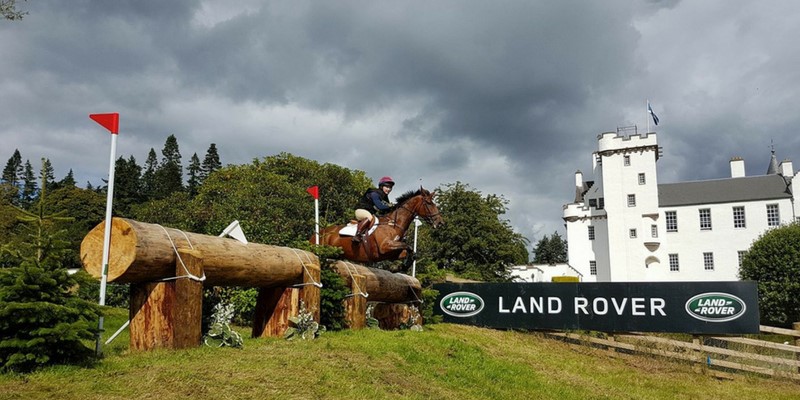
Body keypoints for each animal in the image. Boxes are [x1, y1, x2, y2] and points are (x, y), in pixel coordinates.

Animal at [314, 188, 444, 266]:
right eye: (429, 203)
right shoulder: (384, 246)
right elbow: (409, 246)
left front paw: (403, 266)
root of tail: (319, 232)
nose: (440, 223)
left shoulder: (392, 253)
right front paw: (402, 266)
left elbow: (410, 251)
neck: (393, 224)